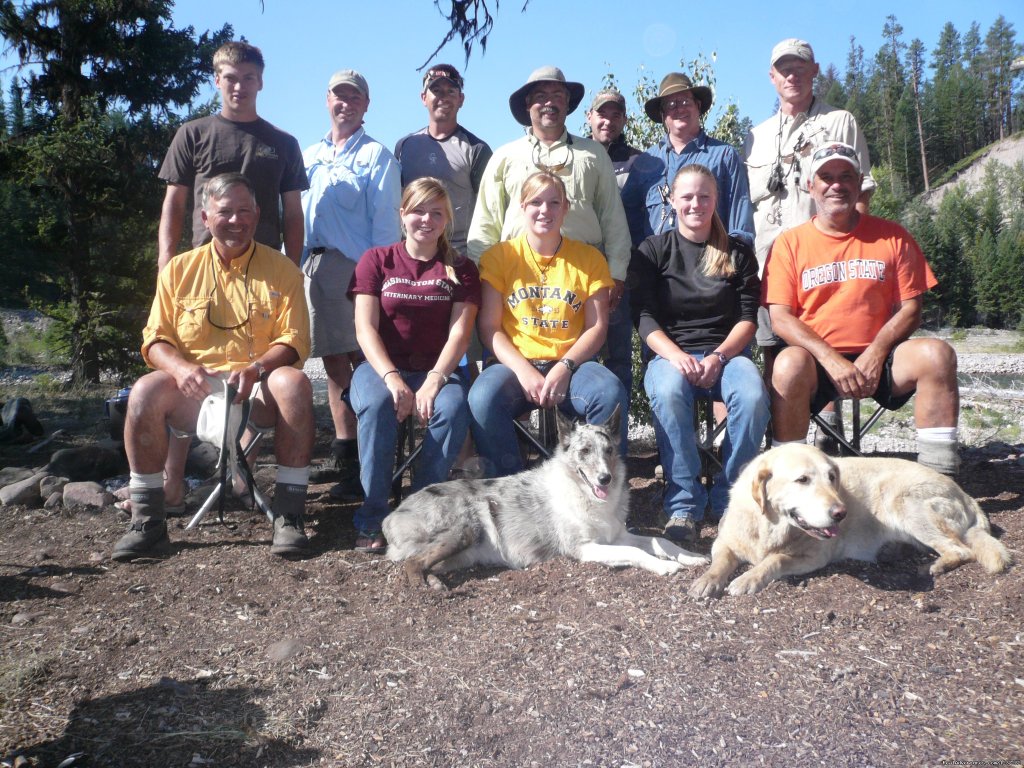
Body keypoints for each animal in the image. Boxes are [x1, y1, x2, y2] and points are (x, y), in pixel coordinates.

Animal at [380, 405, 708, 593]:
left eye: (609, 451)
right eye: (584, 451)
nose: (605, 479)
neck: (586, 496)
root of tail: (392, 515)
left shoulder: (617, 536)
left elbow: (660, 542)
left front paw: (691, 556)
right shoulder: (586, 549)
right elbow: (638, 553)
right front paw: (663, 566)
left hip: (458, 553)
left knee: (419, 563)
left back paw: (435, 581)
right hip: (466, 528)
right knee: (412, 565)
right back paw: (428, 588)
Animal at [684, 444, 1011, 602]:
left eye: (832, 477)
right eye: (802, 480)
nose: (840, 513)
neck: (769, 526)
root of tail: (967, 495)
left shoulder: (814, 556)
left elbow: (774, 560)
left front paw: (748, 578)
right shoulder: (724, 542)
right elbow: (720, 562)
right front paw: (707, 580)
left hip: (902, 501)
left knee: (961, 550)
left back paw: (935, 566)